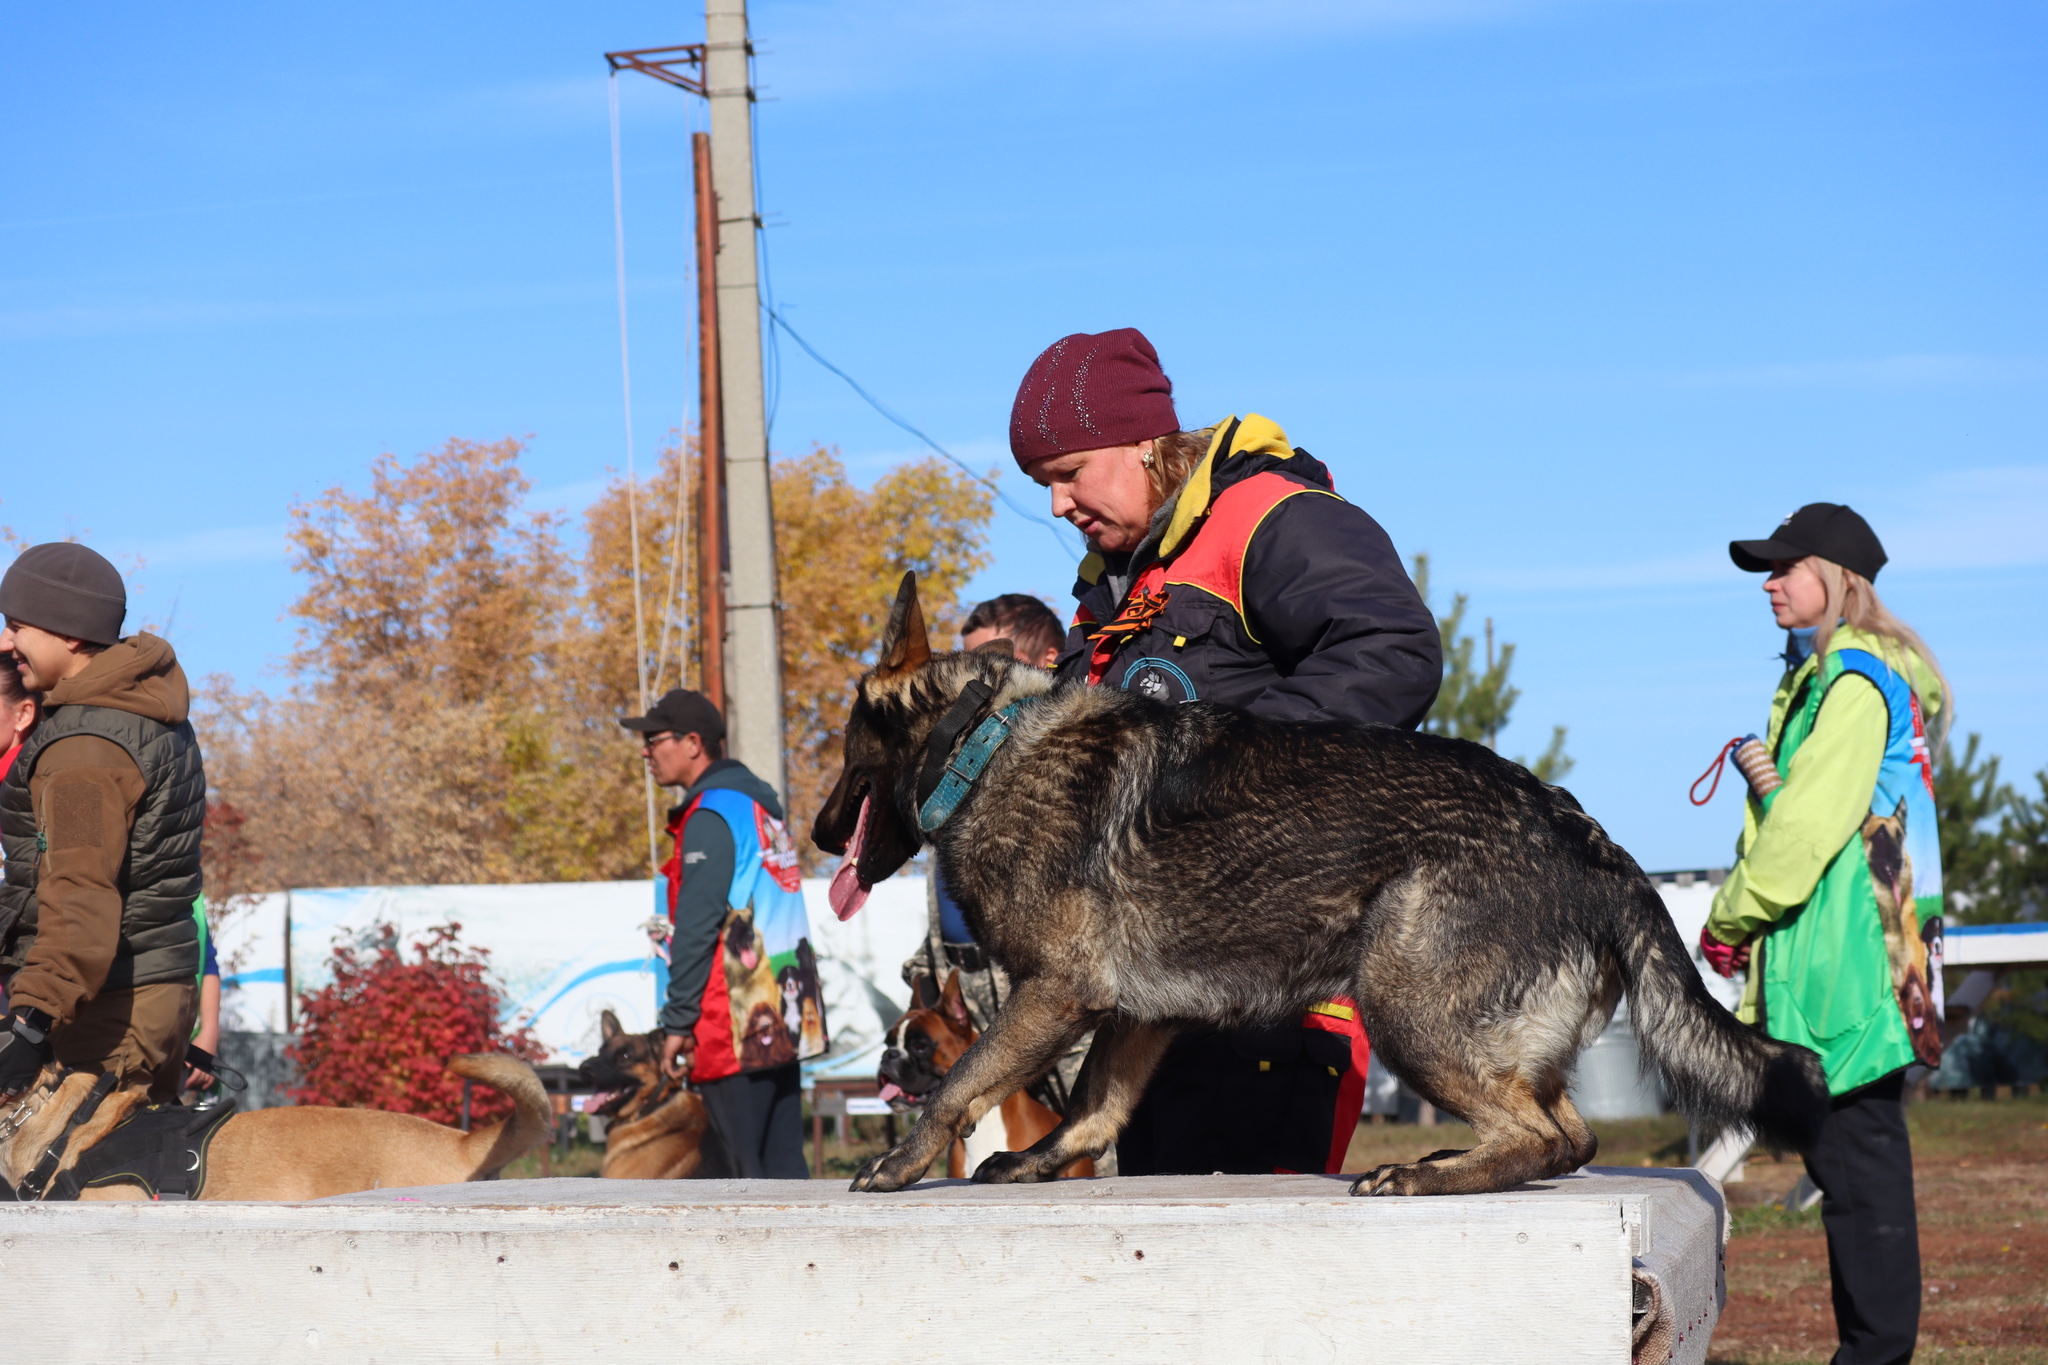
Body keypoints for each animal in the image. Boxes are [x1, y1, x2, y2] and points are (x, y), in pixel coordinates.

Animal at [806, 573, 1835, 1195]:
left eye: (849, 751)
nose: (814, 831)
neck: (980, 748)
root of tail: (1588, 838)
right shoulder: (1135, 1012)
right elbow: (1095, 1105)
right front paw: (1038, 1160)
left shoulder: (1052, 993)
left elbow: (960, 1083)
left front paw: (900, 1160)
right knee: (1567, 1135)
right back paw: (1457, 1158)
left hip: (1404, 1007)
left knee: (1542, 1135)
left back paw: (1423, 1173)